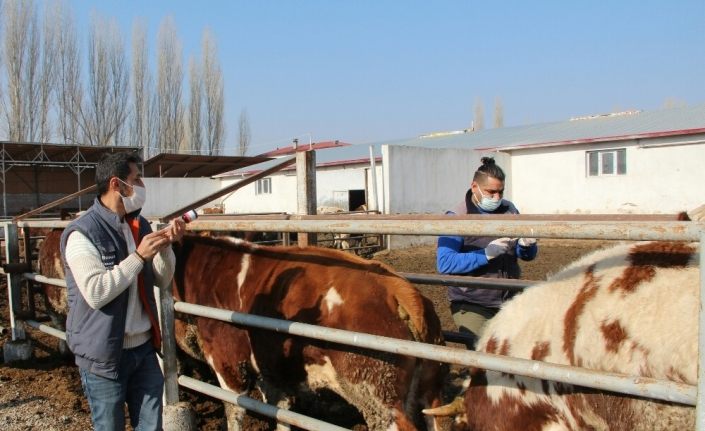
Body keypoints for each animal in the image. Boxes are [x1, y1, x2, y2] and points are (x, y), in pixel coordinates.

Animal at [171, 236, 446, 431]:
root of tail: (399, 289)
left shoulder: (227, 360)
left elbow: (233, 410)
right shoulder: (272, 369)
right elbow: (280, 409)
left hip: (377, 392)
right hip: (428, 391)